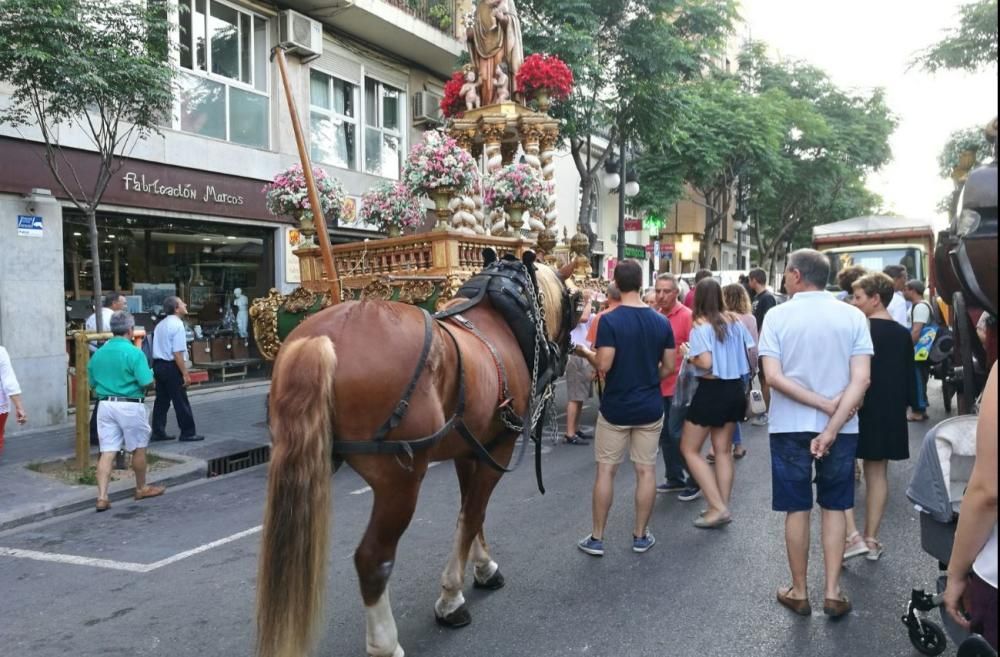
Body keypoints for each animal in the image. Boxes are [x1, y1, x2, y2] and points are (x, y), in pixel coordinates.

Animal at [254, 258, 576, 656]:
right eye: (575, 305)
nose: (564, 353)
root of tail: (323, 338)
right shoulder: (497, 446)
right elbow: (472, 516)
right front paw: (452, 598)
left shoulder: (470, 450)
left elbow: (470, 514)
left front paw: (484, 567)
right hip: (400, 481)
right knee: (373, 558)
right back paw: (385, 643)